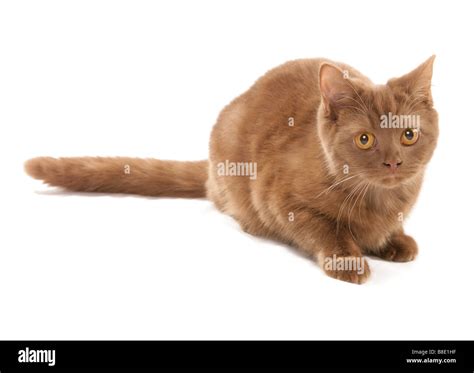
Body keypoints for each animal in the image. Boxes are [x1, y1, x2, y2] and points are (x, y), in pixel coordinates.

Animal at [25, 56, 438, 282]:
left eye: (408, 135)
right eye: (365, 139)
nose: (393, 161)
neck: (379, 199)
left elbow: (388, 227)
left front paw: (395, 239)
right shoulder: (282, 202)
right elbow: (325, 230)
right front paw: (347, 258)